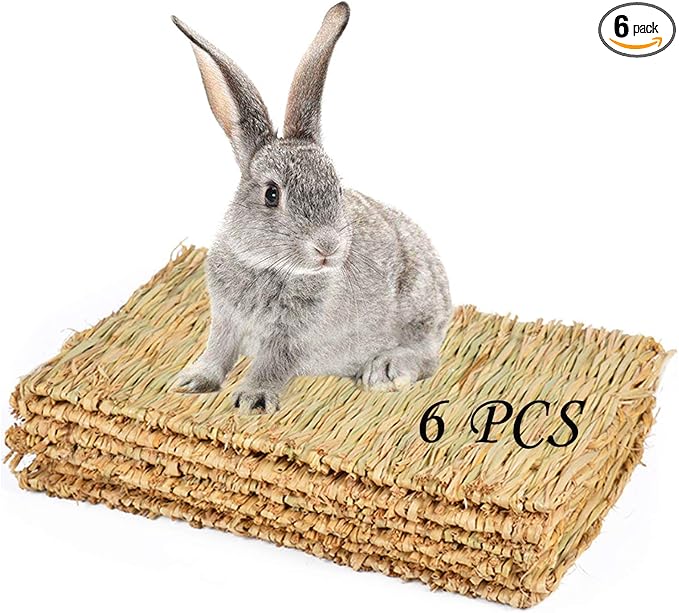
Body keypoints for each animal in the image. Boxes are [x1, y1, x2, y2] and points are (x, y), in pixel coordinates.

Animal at [173, 2, 452, 414]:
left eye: (336, 186)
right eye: (272, 194)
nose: (328, 247)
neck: (269, 266)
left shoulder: (291, 336)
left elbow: (272, 363)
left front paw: (253, 399)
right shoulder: (225, 319)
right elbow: (217, 351)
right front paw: (193, 381)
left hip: (417, 308)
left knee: (428, 357)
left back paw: (386, 370)